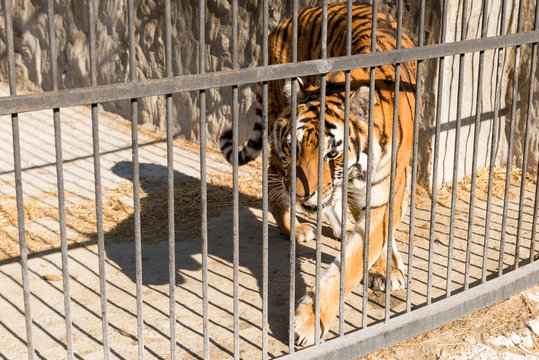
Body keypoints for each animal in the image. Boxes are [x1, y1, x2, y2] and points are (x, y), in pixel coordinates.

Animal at [219, 2, 418, 346]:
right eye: (294, 146)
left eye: (331, 153)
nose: (303, 195)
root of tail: (283, 22)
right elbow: (352, 260)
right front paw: (310, 322)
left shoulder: (387, 185)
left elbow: (370, 241)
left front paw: (385, 269)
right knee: (273, 179)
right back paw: (295, 228)